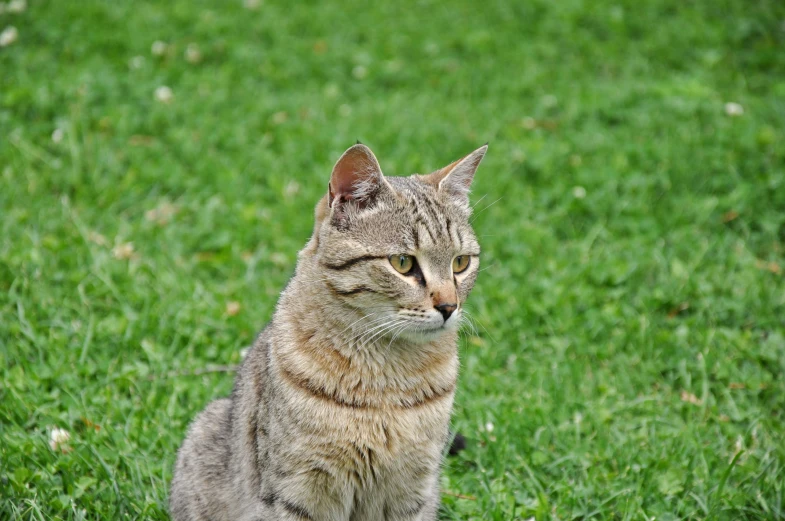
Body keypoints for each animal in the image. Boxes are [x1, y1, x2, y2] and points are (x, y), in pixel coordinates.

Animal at [170, 142, 484, 520]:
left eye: (460, 262)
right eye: (403, 263)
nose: (449, 307)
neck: (386, 379)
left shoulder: (413, 491)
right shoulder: (298, 490)